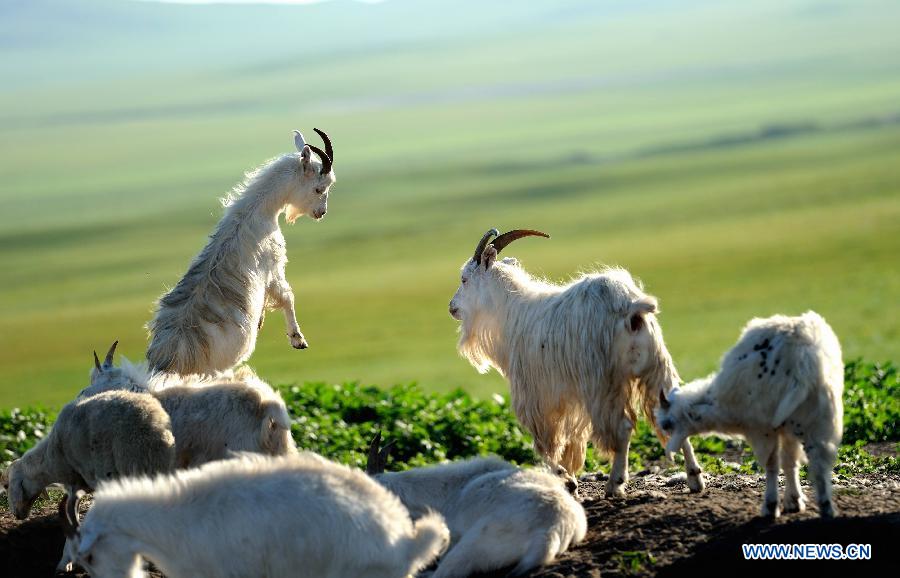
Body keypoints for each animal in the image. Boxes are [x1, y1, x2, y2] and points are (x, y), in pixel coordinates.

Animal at [146, 129, 336, 375]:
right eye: (318, 188)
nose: (321, 212)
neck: (256, 211)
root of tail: (168, 361)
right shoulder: (273, 266)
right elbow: (286, 296)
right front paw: (297, 339)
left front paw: (262, 320)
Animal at [449, 228, 704, 497]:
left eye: (464, 279)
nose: (451, 307)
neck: (513, 313)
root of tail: (632, 307)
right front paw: (568, 477)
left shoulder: (536, 394)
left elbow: (543, 441)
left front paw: (565, 478)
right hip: (656, 368)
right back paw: (695, 478)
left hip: (602, 381)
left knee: (622, 427)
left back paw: (615, 484)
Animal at [657, 311, 844, 518]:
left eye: (666, 425)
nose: (669, 453)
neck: (716, 403)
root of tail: (803, 357)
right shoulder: (788, 429)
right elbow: (790, 463)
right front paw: (793, 501)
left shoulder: (761, 428)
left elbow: (775, 464)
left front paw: (778, 504)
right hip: (821, 417)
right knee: (820, 465)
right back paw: (826, 508)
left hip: (771, 420)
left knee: (776, 464)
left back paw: (770, 505)